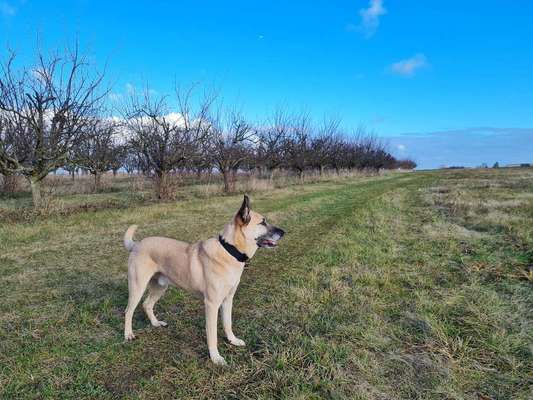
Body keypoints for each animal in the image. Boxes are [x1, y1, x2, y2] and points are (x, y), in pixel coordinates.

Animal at [123, 195, 284, 366]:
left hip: (160, 287)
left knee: (147, 304)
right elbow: (212, 335)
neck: (230, 250)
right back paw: (128, 335)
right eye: (263, 222)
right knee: (128, 311)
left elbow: (228, 324)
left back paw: (155, 324)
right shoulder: (212, 305)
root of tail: (137, 244)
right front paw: (215, 358)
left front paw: (232, 341)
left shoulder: (228, 300)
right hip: (137, 287)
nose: (283, 232)